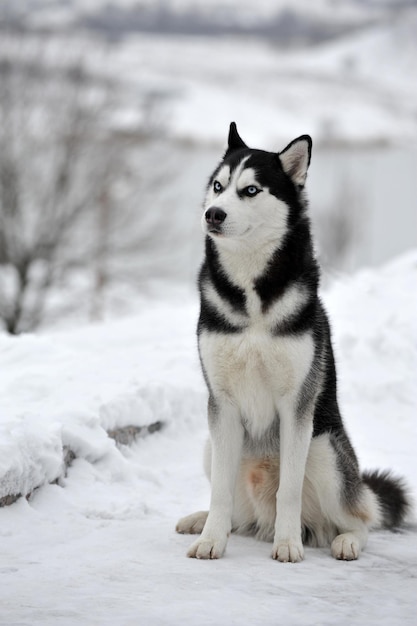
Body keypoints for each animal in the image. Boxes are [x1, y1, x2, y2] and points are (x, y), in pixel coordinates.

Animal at [176, 123, 410, 560]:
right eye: (218, 186)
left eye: (251, 190)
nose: (213, 214)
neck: (252, 294)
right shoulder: (222, 404)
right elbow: (220, 493)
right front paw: (212, 540)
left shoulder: (296, 406)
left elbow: (289, 490)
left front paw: (287, 545)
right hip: (210, 446)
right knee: (235, 511)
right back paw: (202, 520)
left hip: (327, 451)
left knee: (362, 518)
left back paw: (343, 540)